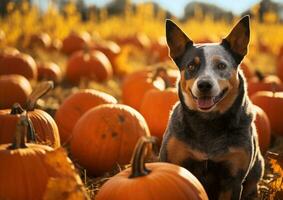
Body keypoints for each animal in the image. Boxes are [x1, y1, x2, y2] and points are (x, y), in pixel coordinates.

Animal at [161, 16, 266, 200]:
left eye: (221, 66)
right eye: (191, 66)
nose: (204, 84)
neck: (208, 123)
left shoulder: (232, 178)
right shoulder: (174, 162)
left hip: (256, 172)